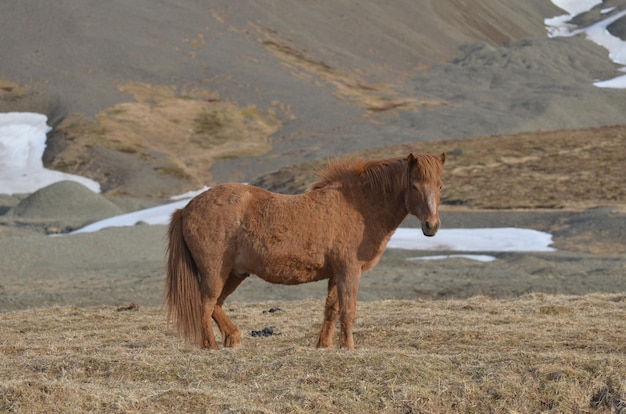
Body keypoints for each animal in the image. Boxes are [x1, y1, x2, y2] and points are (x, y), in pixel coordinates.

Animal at [163, 152, 442, 350]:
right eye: (414, 186)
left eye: (439, 185)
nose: (432, 226)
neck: (360, 206)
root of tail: (186, 208)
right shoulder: (350, 272)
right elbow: (348, 310)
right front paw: (348, 347)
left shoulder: (336, 274)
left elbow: (332, 309)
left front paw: (324, 346)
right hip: (215, 273)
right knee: (205, 305)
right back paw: (210, 347)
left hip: (234, 274)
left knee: (216, 305)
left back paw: (233, 338)